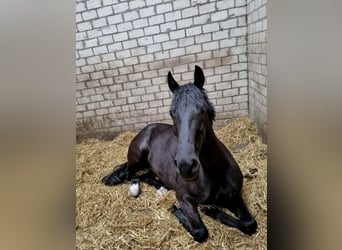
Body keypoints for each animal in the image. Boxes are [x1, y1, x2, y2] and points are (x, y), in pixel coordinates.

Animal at [101, 65, 256, 243]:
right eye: (171, 112)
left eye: (202, 109)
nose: (186, 165)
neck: (215, 172)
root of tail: (147, 129)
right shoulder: (184, 197)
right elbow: (200, 231)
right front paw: (185, 211)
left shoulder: (234, 195)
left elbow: (249, 223)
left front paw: (212, 211)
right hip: (137, 156)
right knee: (129, 173)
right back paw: (136, 188)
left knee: (145, 175)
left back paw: (162, 188)